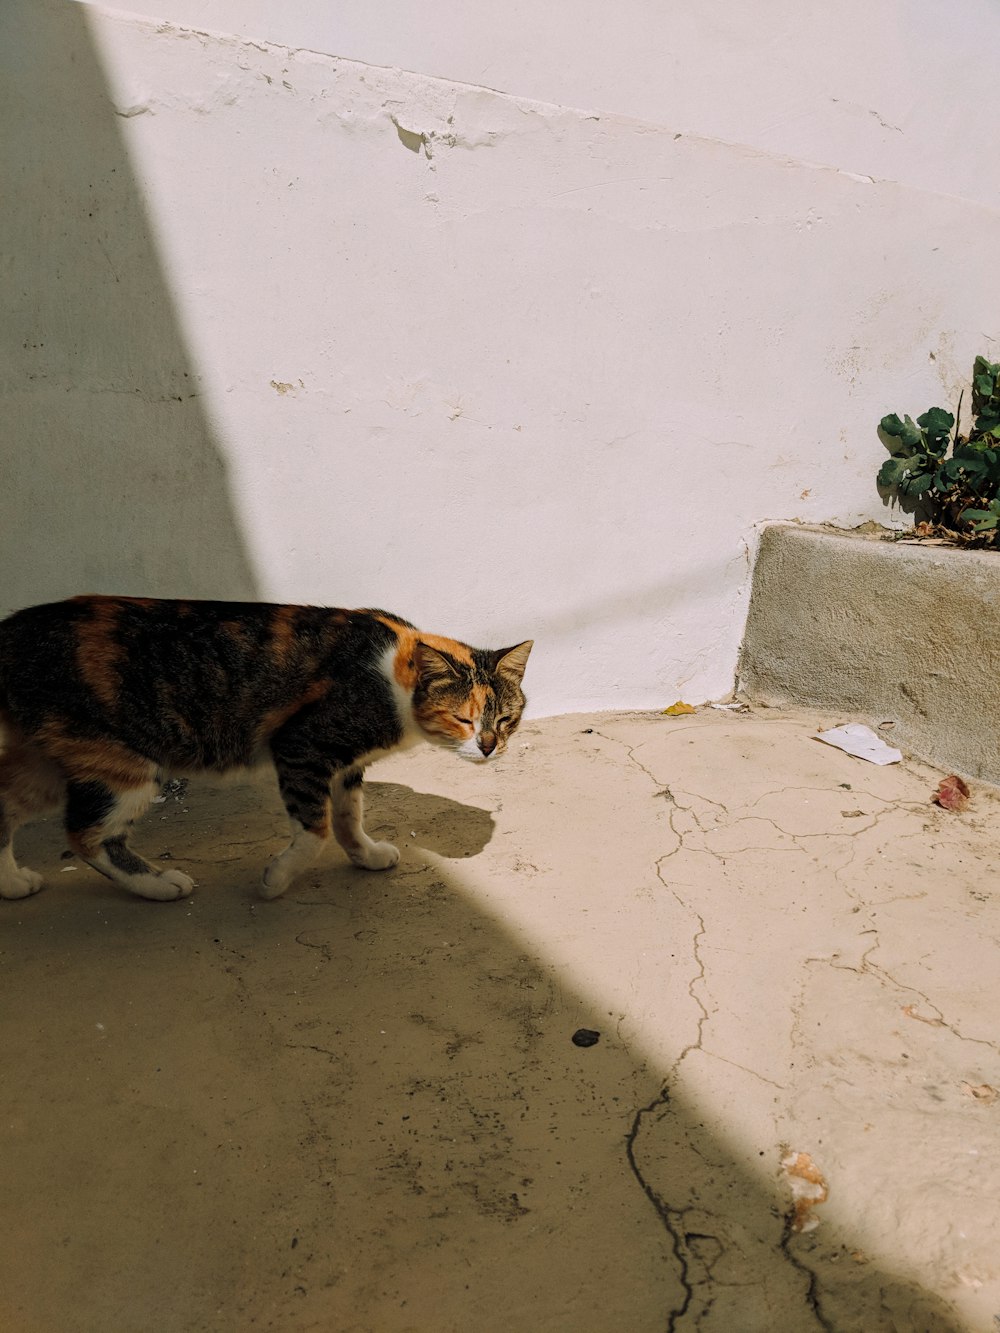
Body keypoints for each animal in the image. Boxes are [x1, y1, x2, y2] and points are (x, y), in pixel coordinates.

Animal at [0, 597, 533, 901]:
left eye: (506, 720)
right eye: (463, 719)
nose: (490, 748)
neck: (392, 677)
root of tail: (11, 633)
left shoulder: (347, 764)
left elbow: (348, 816)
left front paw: (365, 855)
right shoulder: (302, 746)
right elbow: (316, 828)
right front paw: (276, 880)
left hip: (47, 761)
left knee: (6, 807)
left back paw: (12, 885)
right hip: (120, 763)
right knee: (86, 833)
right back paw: (158, 885)